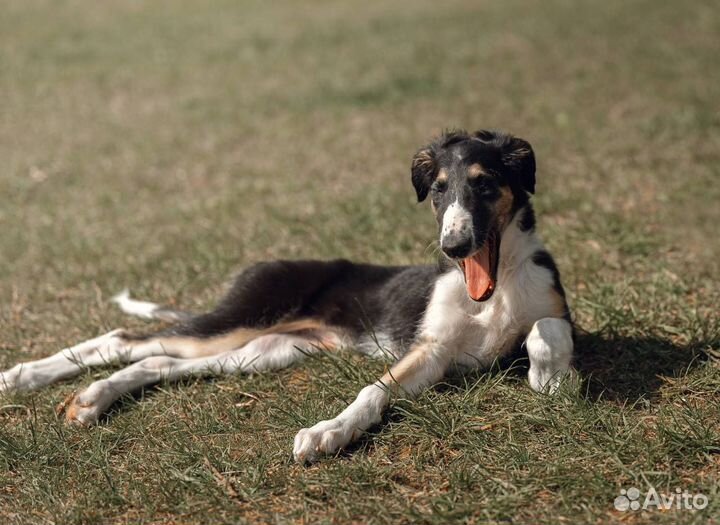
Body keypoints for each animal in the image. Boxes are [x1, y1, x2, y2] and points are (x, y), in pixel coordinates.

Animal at [0, 129, 572, 460]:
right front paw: (327, 433)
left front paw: (550, 377)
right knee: (125, 338)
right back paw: (23, 377)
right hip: (242, 318)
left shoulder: (545, 314)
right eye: (438, 190)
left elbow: (546, 329)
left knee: (158, 361)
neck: (495, 290)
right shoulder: (428, 350)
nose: (453, 247)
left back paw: (92, 398)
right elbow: (371, 392)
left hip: (268, 350)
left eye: (483, 183)